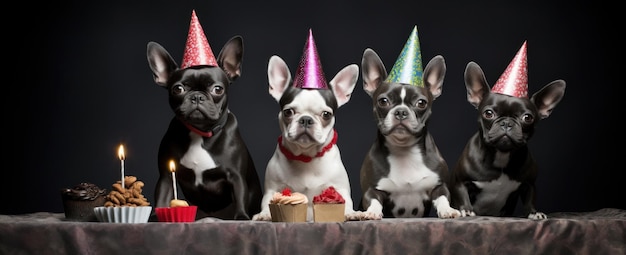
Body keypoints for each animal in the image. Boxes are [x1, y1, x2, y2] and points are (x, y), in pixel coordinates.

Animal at [250, 29, 360, 221]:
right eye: (288, 112)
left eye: (326, 114)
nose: (306, 119)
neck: (306, 156)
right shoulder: (272, 189)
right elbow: (267, 202)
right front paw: (264, 215)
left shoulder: (340, 188)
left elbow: (345, 202)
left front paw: (351, 213)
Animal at [448, 41, 564, 219]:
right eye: (488, 113)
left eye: (527, 118)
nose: (507, 123)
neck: (501, 155)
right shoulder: (460, 181)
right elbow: (463, 196)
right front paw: (466, 210)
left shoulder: (530, 183)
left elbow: (530, 198)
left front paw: (534, 213)